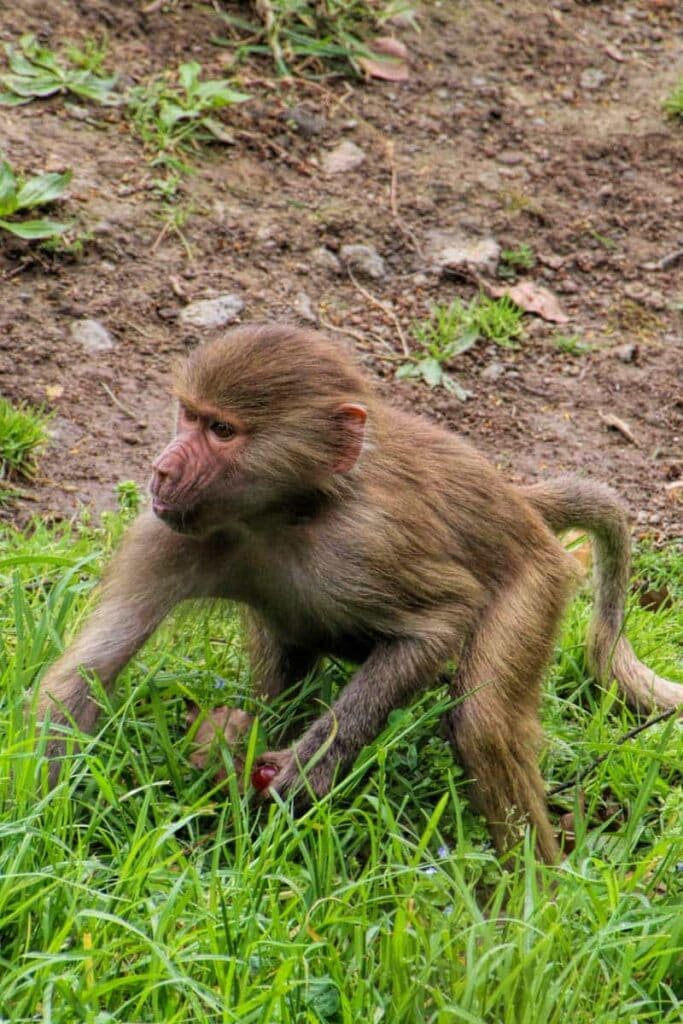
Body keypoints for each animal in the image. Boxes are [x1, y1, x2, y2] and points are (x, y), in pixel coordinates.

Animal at [35, 323, 682, 863]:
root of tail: (516, 501)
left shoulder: (364, 545)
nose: (162, 471)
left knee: (482, 720)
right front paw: (54, 838)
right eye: (188, 416)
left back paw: (532, 900)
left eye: (221, 430)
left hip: (538, 577)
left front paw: (311, 766)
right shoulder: (164, 533)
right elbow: (78, 682)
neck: (284, 514)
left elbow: (441, 622)